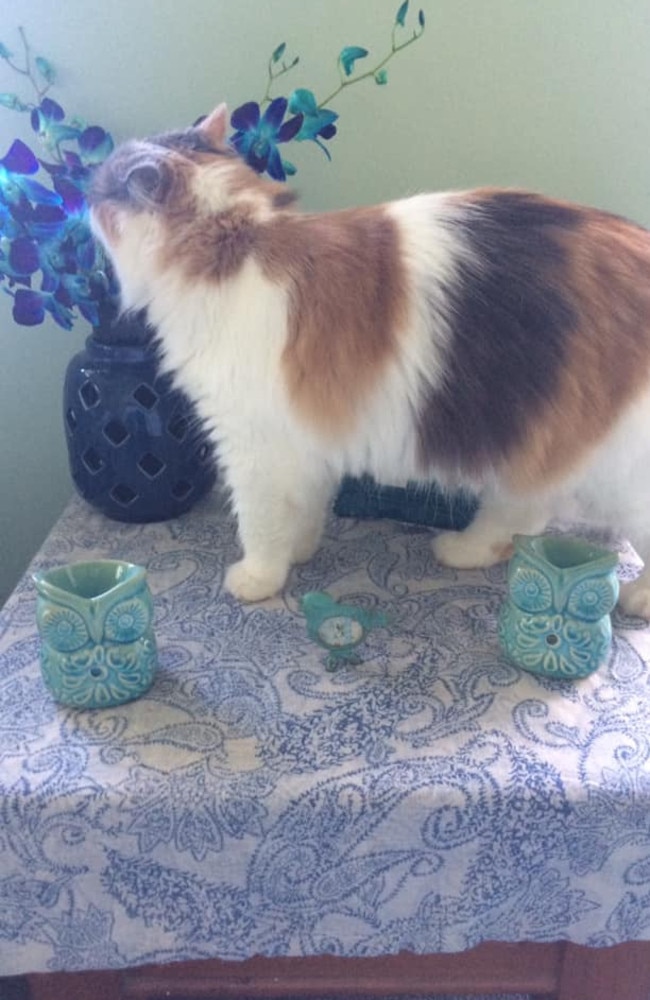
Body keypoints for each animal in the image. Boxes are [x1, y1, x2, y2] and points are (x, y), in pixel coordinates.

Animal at [88, 105, 648, 612]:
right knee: (524, 514)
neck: (238, 240)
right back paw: (464, 548)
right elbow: (305, 509)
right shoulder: (305, 441)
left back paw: (635, 599)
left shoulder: (253, 447)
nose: (84, 195)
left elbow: (260, 524)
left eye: (104, 190)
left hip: (612, 469)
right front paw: (299, 551)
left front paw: (259, 577)